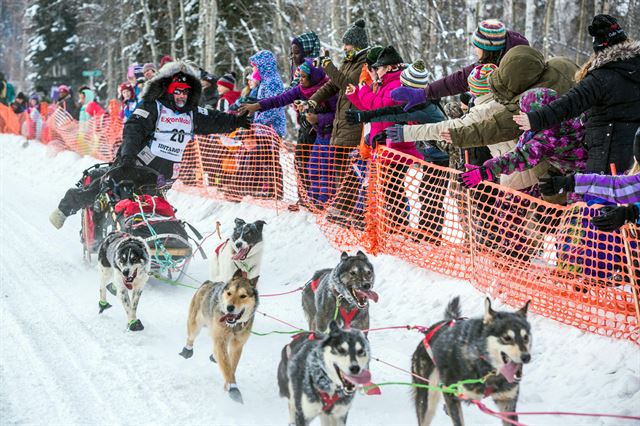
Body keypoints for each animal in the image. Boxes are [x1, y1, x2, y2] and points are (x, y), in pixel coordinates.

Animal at [178, 270, 258, 402]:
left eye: (243, 296)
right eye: (229, 293)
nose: (229, 307)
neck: (233, 326)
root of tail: (209, 282)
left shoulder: (237, 345)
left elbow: (232, 366)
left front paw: (228, 385)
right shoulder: (220, 340)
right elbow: (226, 366)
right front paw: (233, 388)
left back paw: (213, 356)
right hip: (195, 324)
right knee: (191, 336)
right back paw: (187, 350)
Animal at [412, 296, 532, 426]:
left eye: (526, 337)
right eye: (507, 338)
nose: (526, 357)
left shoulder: (507, 402)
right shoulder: (451, 394)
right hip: (428, 399)